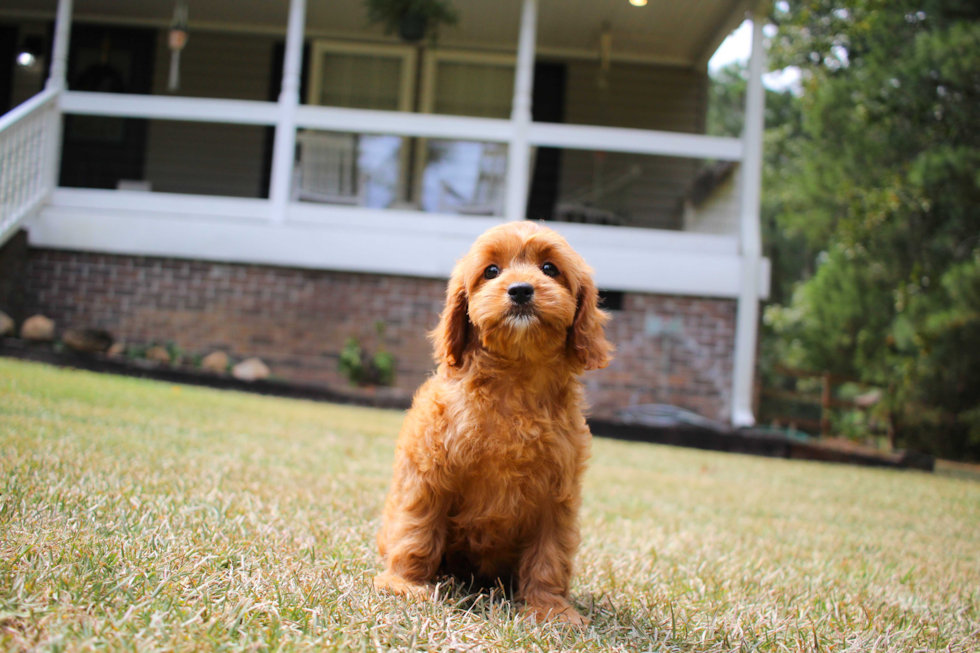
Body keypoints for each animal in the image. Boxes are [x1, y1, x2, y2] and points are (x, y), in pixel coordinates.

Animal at [376, 222, 612, 624]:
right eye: (491, 271)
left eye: (549, 269)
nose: (520, 290)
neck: (515, 379)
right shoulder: (430, 470)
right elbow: (417, 526)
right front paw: (405, 584)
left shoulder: (557, 492)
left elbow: (551, 552)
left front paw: (551, 608)